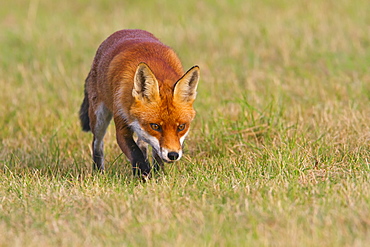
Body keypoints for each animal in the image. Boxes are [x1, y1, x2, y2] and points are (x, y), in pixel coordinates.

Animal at [78, 29, 199, 178]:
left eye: (181, 126)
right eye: (155, 126)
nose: (173, 155)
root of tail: (126, 30)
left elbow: (153, 155)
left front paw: (158, 176)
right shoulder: (121, 128)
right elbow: (136, 154)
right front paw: (146, 176)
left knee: (142, 145)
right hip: (99, 118)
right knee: (97, 144)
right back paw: (99, 172)